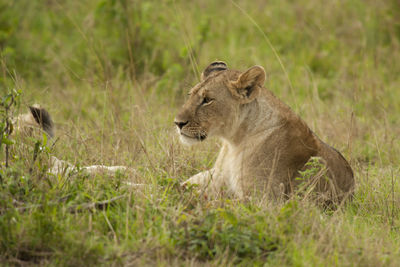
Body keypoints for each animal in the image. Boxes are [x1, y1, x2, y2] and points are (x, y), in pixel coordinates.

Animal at [173, 61, 354, 203]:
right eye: (190, 95)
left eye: (207, 100)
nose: (178, 123)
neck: (234, 141)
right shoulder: (216, 177)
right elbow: (181, 185)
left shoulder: (264, 200)